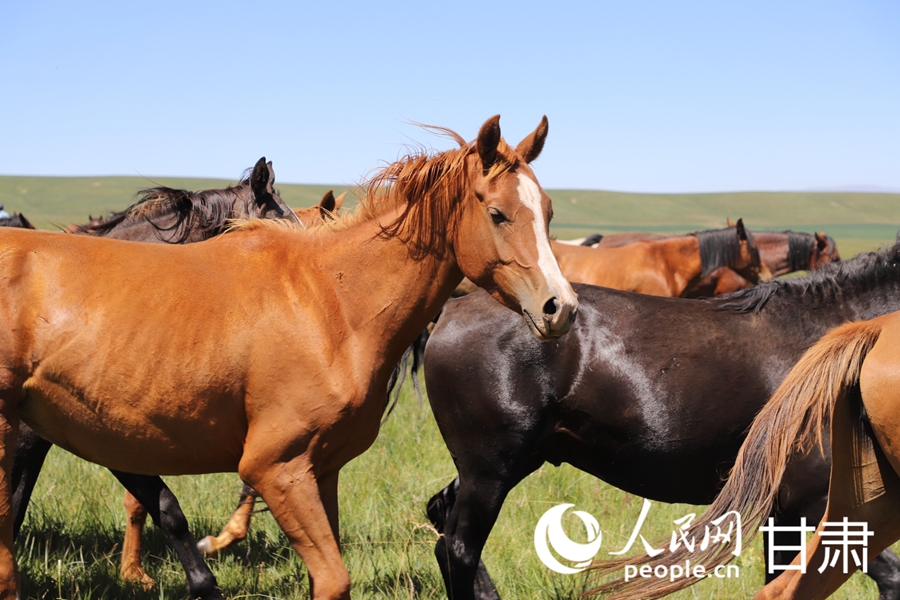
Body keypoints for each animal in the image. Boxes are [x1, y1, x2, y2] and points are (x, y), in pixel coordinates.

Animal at [0, 116, 576, 600]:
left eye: (549, 212)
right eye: (497, 213)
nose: (562, 307)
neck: (332, 304)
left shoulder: (322, 473)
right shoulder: (276, 469)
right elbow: (328, 577)